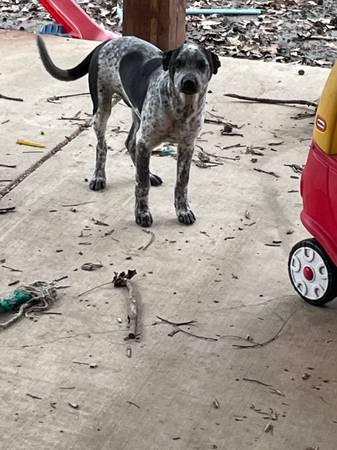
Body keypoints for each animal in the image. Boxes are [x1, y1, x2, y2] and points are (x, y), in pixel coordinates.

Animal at [37, 35, 220, 227]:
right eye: (177, 64)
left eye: (202, 65)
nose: (189, 82)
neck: (181, 108)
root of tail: (107, 42)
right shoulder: (145, 143)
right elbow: (142, 184)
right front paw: (142, 213)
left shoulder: (187, 147)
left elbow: (181, 183)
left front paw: (182, 210)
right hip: (102, 110)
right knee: (102, 146)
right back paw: (99, 177)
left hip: (136, 115)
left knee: (130, 143)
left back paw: (149, 174)